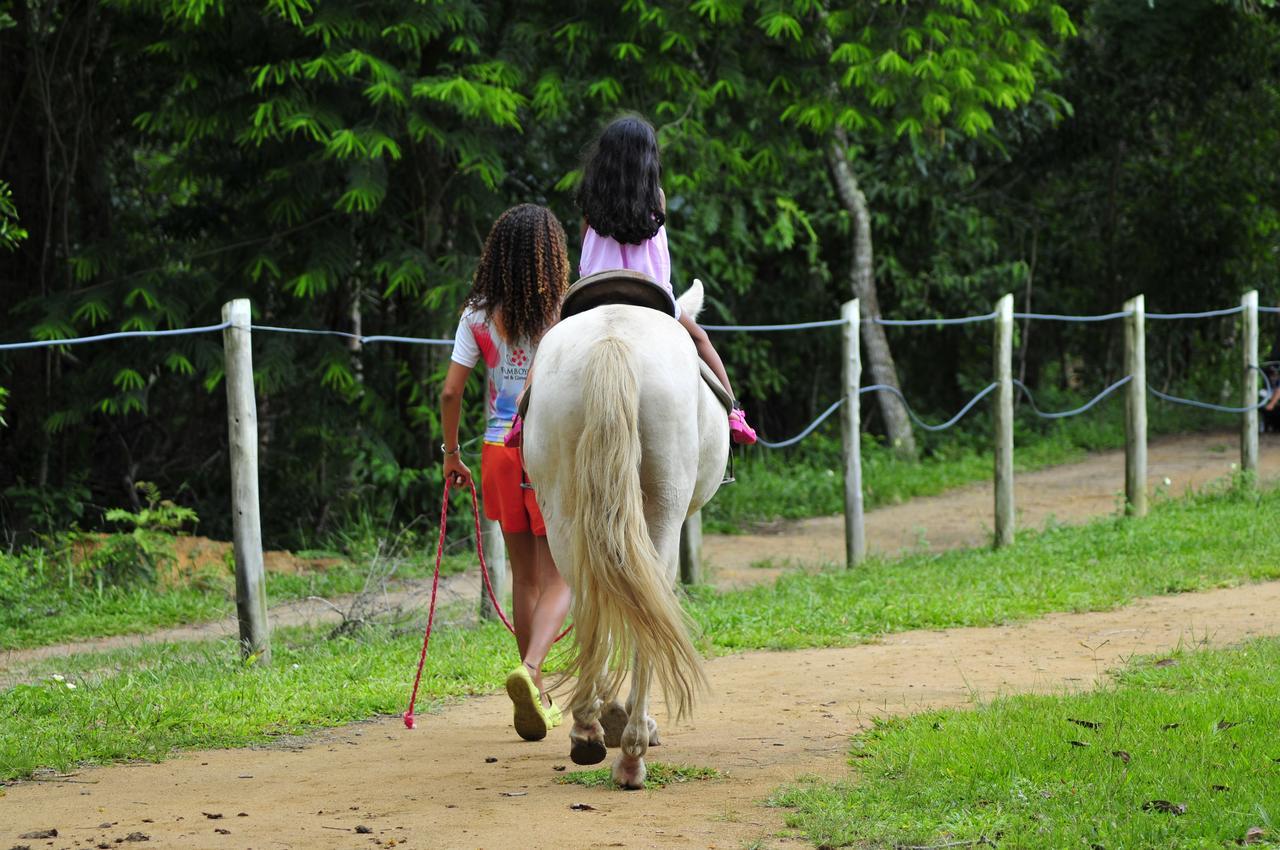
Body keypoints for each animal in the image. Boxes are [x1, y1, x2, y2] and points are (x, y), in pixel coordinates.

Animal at [522, 280, 732, 788]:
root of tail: (611, 341)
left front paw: (604, 714)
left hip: (563, 511)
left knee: (586, 594)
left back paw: (587, 732)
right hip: (661, 511)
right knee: (648, 596)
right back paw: (633, 749)